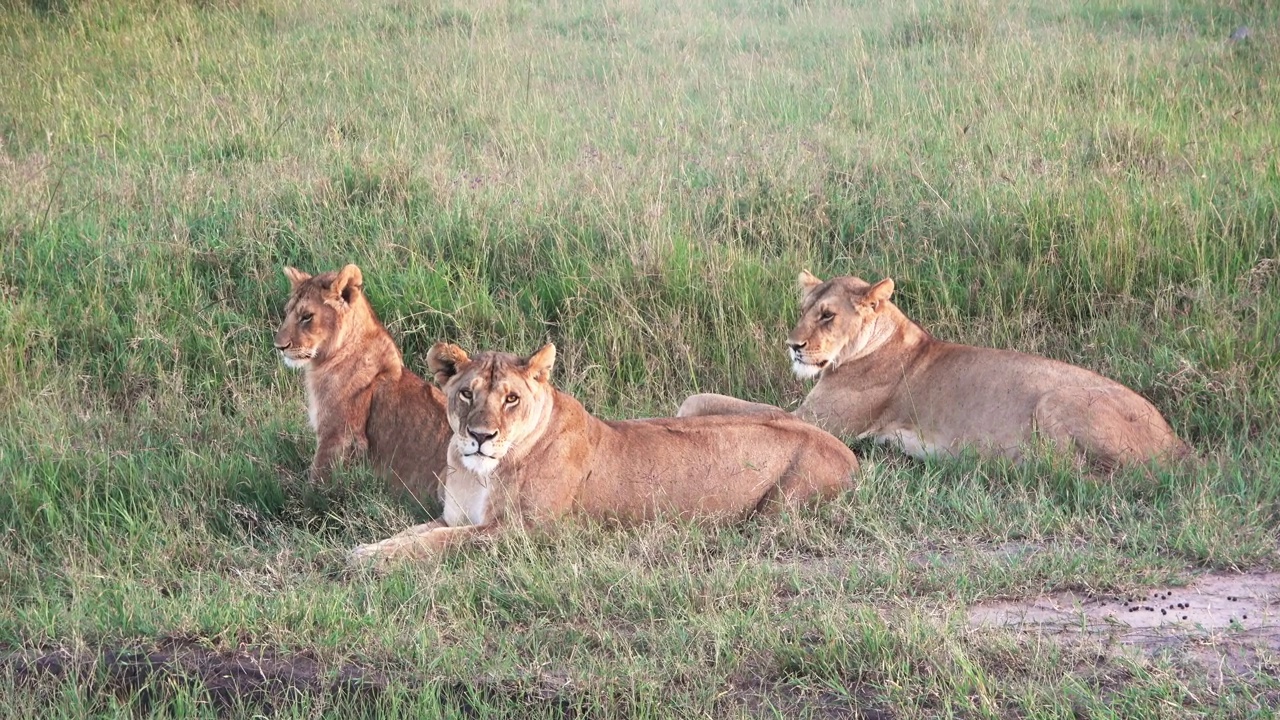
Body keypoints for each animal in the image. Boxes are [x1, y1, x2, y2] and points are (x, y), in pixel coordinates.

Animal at [272, 263, 453, 504]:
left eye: (307, 316)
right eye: (287, 313)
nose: (279, 347)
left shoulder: (338, 435)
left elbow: (316, 483)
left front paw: (303, 507)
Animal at [348, 340, 860, 561]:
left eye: (511, 398)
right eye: (466, 394)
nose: (480, 435)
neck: (478, 471)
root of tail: (839, 444)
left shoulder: (525, 533)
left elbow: (441, 543)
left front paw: (370, 560)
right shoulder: (454, 516)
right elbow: (414, 533)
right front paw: (367, 549)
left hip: (774, 513)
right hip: (695, 401)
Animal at [680, 270, 1187, 471]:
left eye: (827, 315)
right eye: (803, 310)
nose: (793, 347)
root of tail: (1178, 441)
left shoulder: (818, 422)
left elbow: (718, 403)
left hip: (1056, 399)